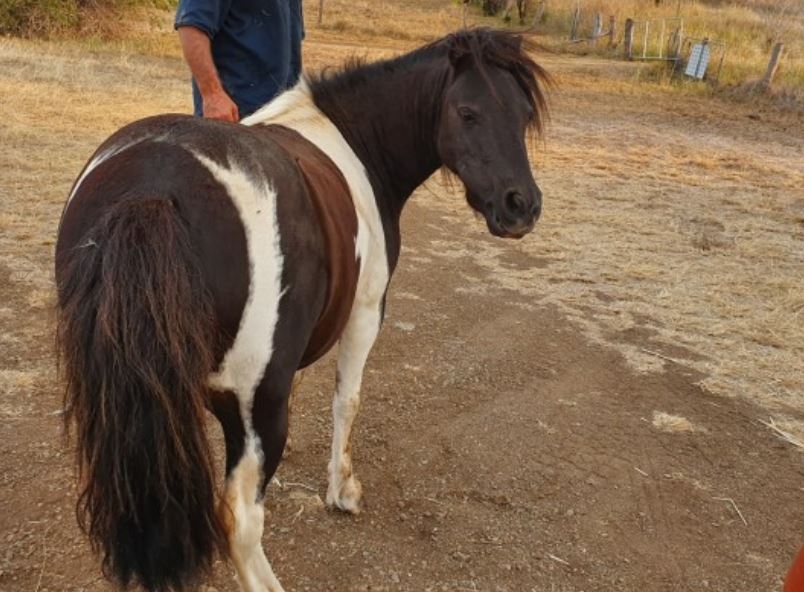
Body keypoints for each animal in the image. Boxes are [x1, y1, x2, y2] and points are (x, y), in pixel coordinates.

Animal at [55, 27, 548, 592]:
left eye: (523, 113)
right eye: (467, 113)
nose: (521, 206)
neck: (354, 142)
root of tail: (151, 192)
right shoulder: (365, 315)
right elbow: (346, 401)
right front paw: (342, 491)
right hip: (257, 401)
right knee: (241, 520)